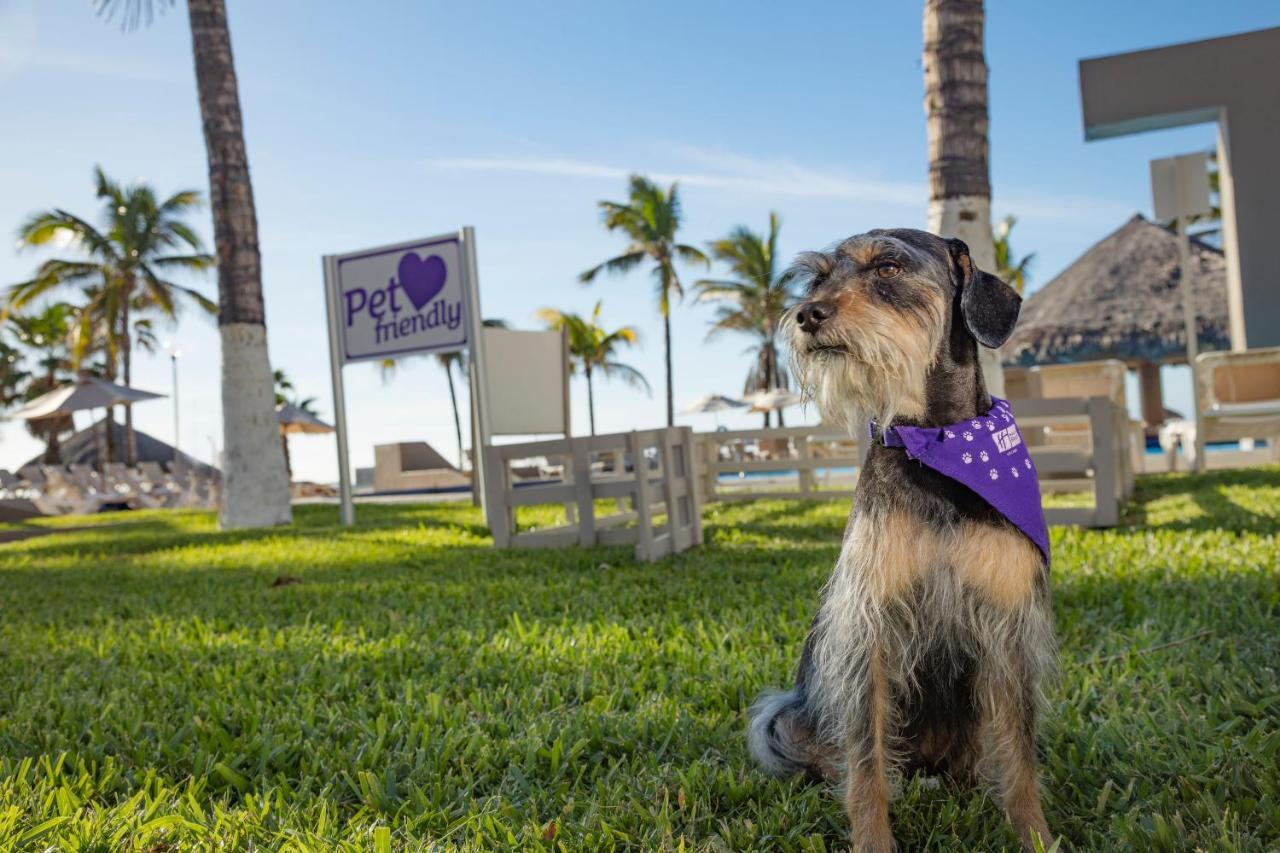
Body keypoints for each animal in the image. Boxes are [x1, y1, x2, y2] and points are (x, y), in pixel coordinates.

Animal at [747, 227, 1054, 850]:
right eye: (818, 279)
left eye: (887, 267)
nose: (806, 314)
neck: (937, 443)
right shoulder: (870, 627)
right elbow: (867, 763)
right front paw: (872, 839)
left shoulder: (1008, 625)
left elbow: (1019, 752)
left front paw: (1035, 834)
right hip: (784, 716)